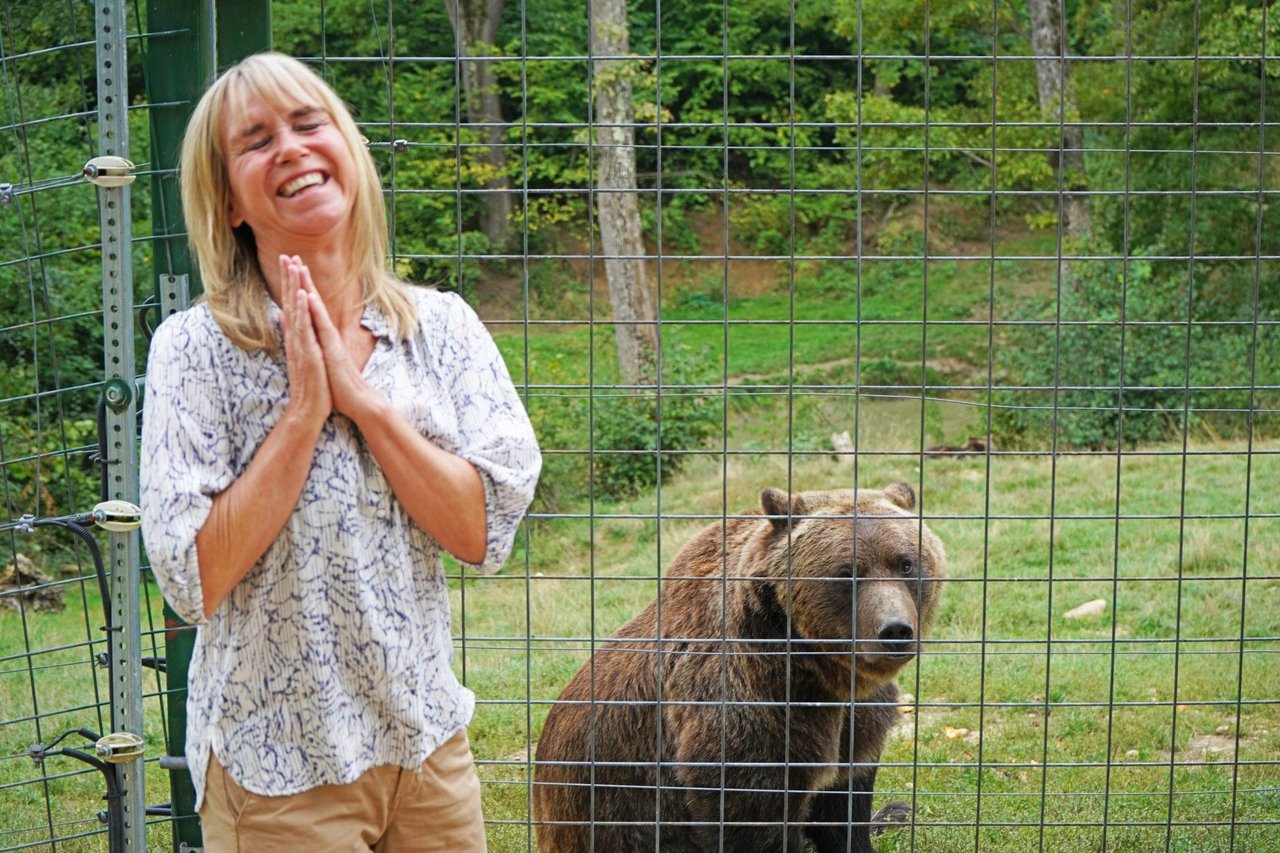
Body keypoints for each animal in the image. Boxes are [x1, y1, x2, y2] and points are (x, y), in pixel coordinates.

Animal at [529, 481, 942, 845]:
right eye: (846, 573)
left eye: (906, 564)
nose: (895, 630)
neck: (823, 669)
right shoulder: (754, 706)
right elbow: (751, 813)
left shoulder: (856, 725)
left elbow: (843, 811)